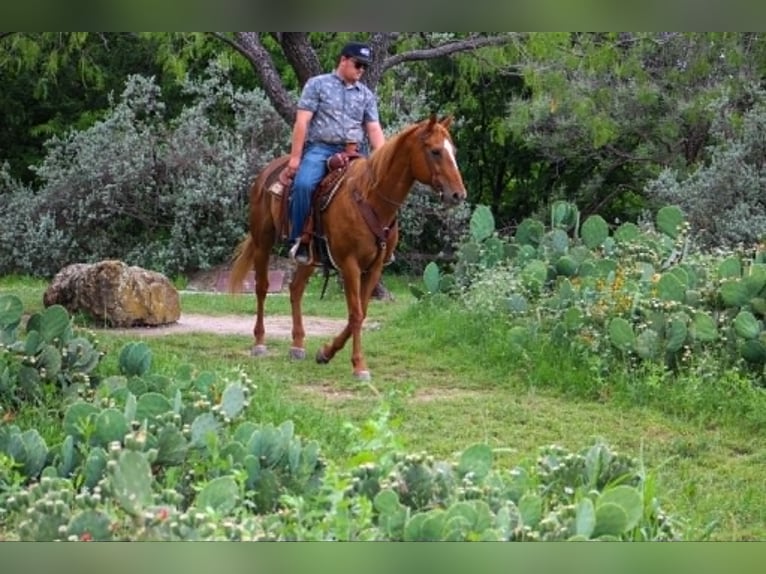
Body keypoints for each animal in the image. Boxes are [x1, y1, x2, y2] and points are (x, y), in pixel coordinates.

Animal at [229, 114, 467, 380]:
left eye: (453, 151)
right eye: (435, 151)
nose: (458, 194)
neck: (370, 199)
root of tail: (267, 173)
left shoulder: (374, 267)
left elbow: (361, 312)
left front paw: (326, 352)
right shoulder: (349, 264)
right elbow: (356, 313)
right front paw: (359, 365)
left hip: (309, 258)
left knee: (295, 289)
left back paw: (298, 345)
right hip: (263, 242)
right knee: (261, 287)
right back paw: (259, 343)